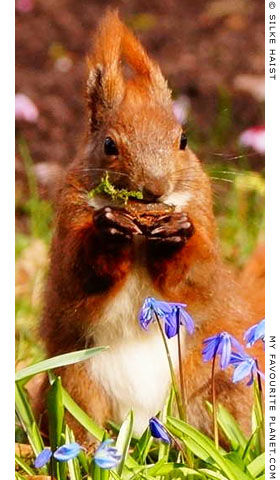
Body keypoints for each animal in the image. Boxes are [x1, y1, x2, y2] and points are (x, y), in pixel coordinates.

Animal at [38, 9, 264, 442]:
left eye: (183, 140)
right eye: (109, 145)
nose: (155, 189)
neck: (142, 234)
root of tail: (142, 424)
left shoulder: (201, 214)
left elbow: (196, 274)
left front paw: (176, 235)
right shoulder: (69, 218)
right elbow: (77, 277)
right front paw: (108, 232)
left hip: (222, 385)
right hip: (73, 387)